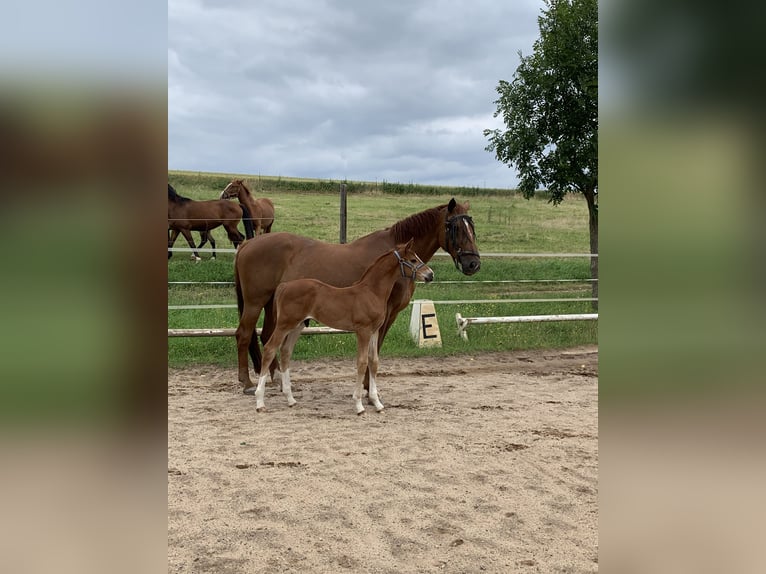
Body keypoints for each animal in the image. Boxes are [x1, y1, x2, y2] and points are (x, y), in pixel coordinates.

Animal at [237, 198, 484, 396]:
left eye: (472, 227)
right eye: (455, 227)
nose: (473, 264)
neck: (394, 257)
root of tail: (248, 243)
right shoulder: (385, 314)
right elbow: (375, 350)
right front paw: (368, 387)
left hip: (274, 305)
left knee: (266, 335)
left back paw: (277, 379)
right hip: (255, 302)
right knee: (244, 334)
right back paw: (247, 383)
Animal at [252, 241, 432, 416]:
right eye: (413, 260)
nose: (430, 275)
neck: (371, 292)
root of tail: (284, 286)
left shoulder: (374, 331)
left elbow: (374, 362)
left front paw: (377, 403)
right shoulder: (363, 331)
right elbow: (362, 363)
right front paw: (359, 405)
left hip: (297, 326)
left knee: (285, 352)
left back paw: (290, 399)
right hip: (284, 324)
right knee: (270, 349)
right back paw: (260, 402)